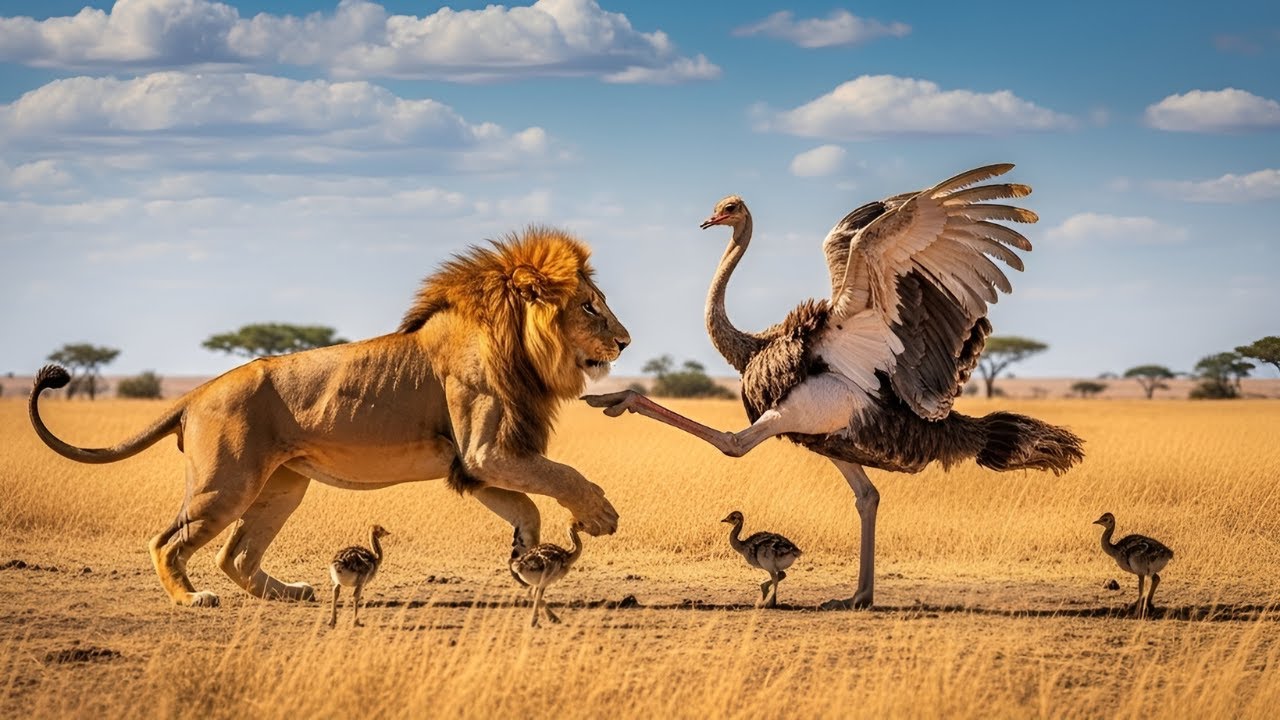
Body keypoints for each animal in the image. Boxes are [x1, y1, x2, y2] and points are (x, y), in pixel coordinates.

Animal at [28, 228, 631, 607]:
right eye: (590, 306)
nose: (625, 342)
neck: (520, 347)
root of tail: (197, 392)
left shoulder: (476, 465)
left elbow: (527, 505)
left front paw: (523, 553)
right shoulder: (487, 452)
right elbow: (563, 476)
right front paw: (600, 514)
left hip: (281, 486)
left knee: (235, 555)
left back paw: (292, 594)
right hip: (225, 483)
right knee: (168, 543)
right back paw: (193, 598)